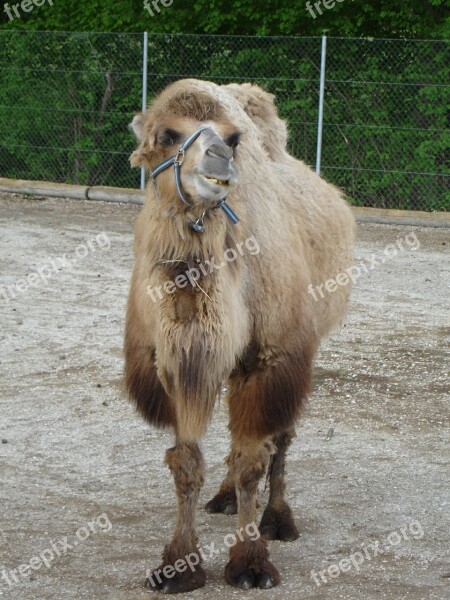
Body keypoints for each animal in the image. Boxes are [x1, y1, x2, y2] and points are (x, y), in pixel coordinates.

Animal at [124, 77, 356, 592]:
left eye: (232, 138)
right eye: (167, 134)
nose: (218, 160)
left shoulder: (271, 358)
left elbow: (255, 461)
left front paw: (250, 562)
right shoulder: (173, 363)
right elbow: (185, 463)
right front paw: (178, 566)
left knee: (279, 439)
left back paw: (279, 519)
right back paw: (224, 497)